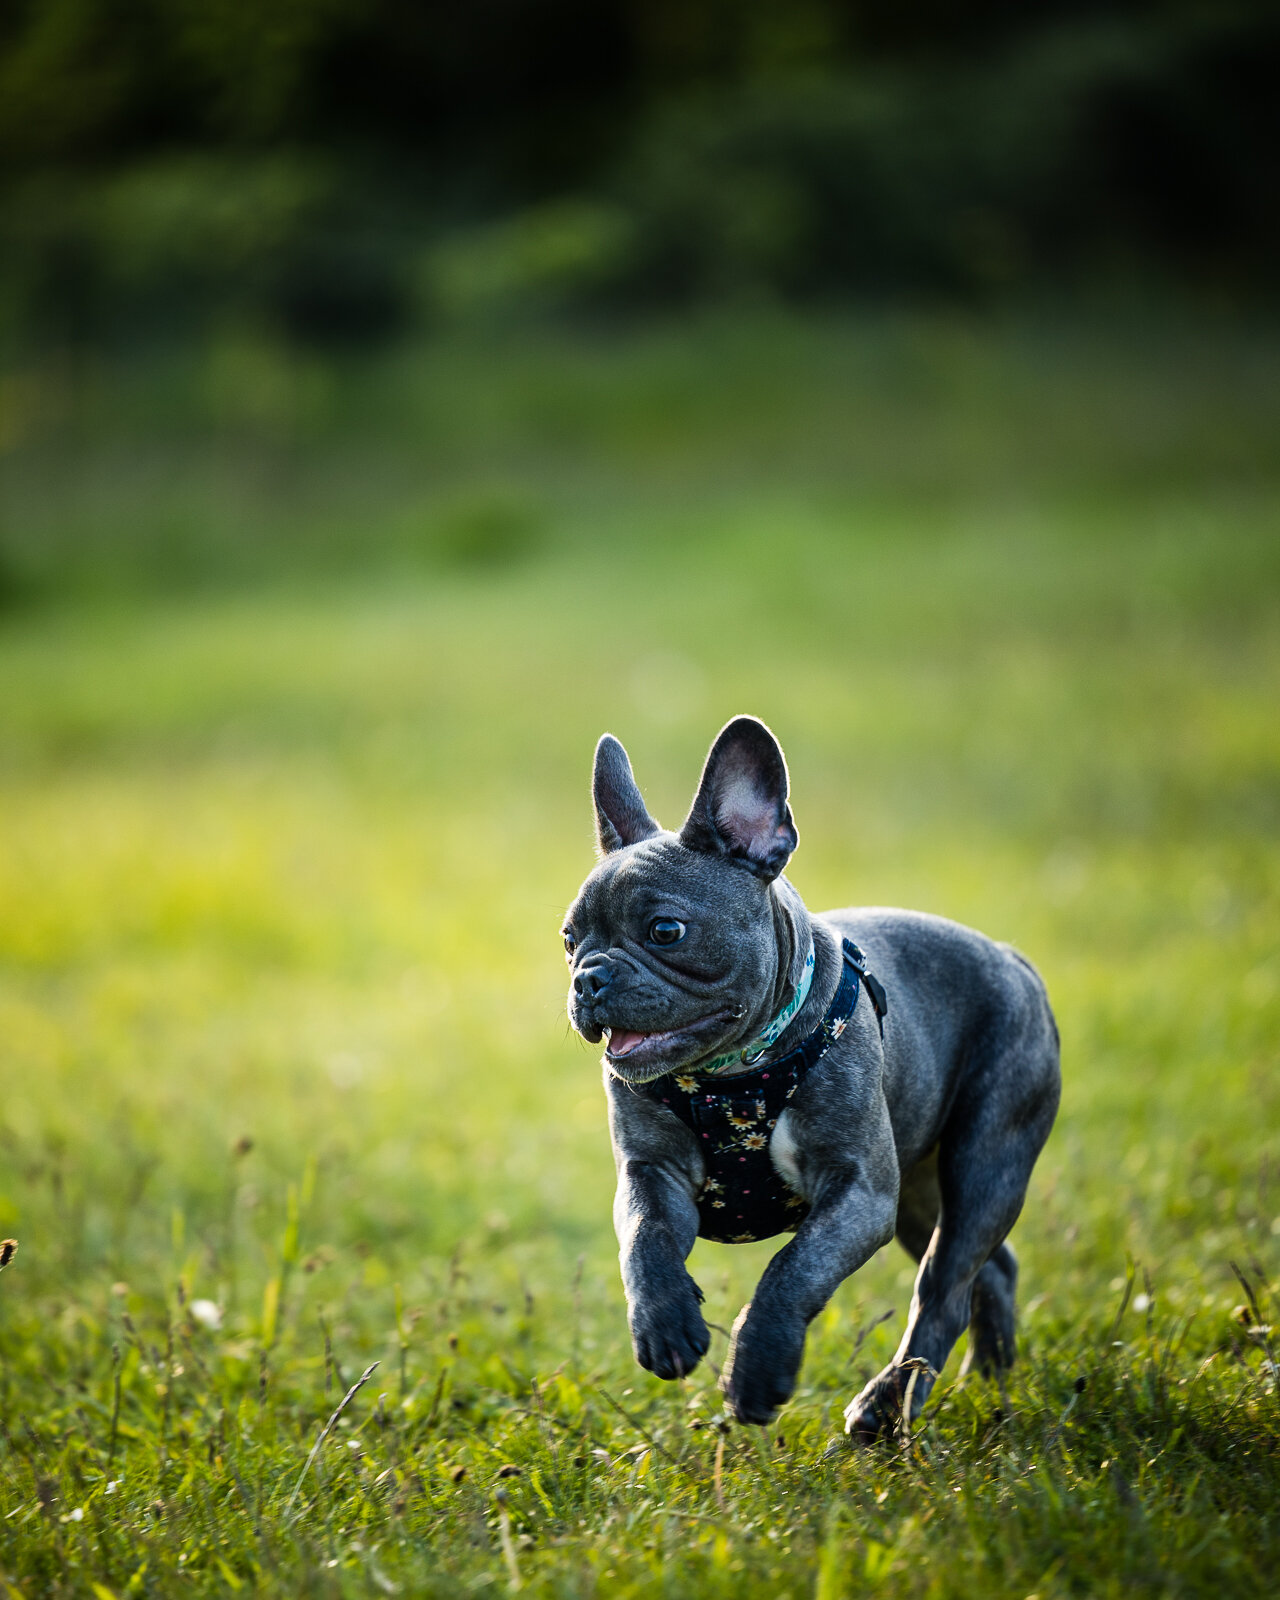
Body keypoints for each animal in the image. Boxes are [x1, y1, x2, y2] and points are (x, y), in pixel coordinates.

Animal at [563, 720, 1062, 1433]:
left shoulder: (858, 1192)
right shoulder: (650, 1173)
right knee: (983, 1274)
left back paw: (885, 1405)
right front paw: (665, 1326)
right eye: (568, 938)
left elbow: (792, 1269)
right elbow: (645, 1240)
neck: (734, 1076)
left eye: (666, 930)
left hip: (984, 1163)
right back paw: (991, 1382)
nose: (589, 977)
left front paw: (757, 1370)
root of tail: (1011, 958)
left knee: (942, 1286)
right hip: (917, 1189)